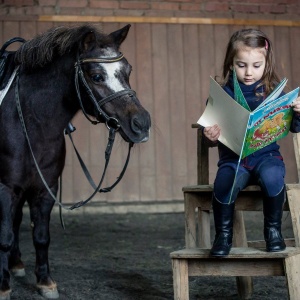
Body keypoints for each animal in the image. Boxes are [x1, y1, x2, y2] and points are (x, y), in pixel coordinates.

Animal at [0, 24, 151, 300]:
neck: (29, 121)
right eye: (96, 76)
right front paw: (3, 286)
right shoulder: (5, 188)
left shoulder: (44, 189)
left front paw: (45, 282)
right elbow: (3, 236)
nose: (142, 124)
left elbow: (41, 236)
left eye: (128, 71)